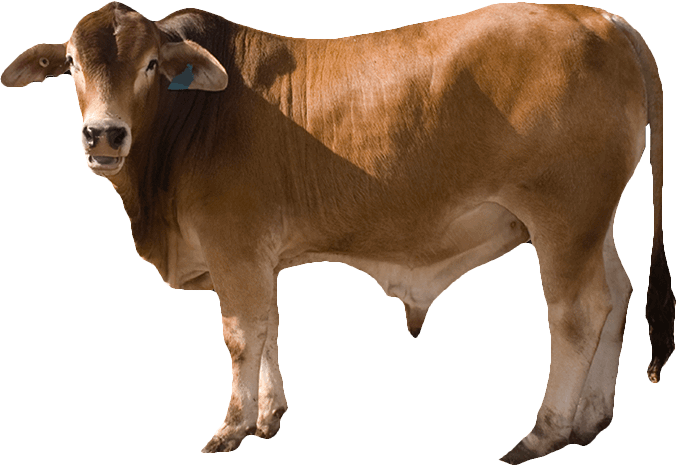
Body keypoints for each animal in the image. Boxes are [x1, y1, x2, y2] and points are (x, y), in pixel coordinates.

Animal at [2, 2, 673, 463]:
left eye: (149, 65)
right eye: (71, 63)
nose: (104, 134)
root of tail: (599, 17)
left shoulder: (233, 245)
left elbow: (241, 335)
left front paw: (230, 428)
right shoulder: (258, 257)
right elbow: (268, 327)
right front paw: (268, 416)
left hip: (564, 216)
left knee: (578, 313)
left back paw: (544, 432)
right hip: (596, 221)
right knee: (616, 296)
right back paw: (591, 421)